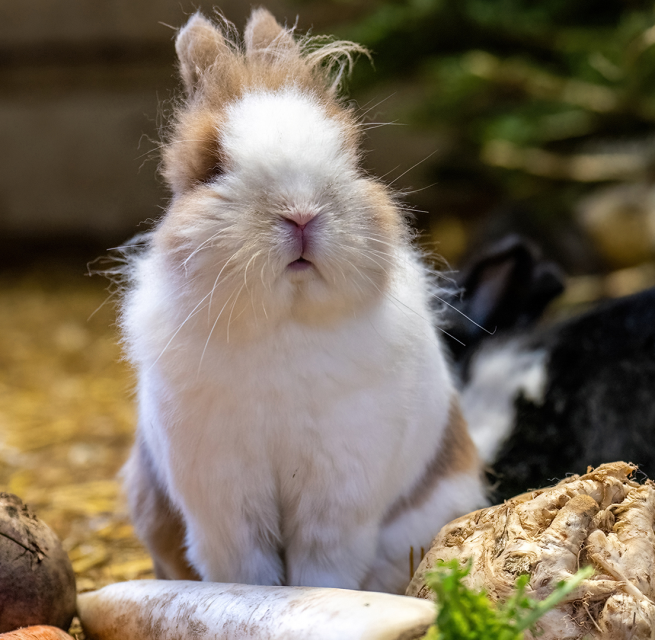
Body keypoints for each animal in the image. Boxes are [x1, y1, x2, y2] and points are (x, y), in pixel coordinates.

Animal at [119, 8, 487, 594]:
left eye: (351, 155)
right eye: (211, 164)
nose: (300, 213)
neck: (284, 326)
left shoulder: (338, 490)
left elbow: (324, 565)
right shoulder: (223, 497)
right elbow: (244, 566)